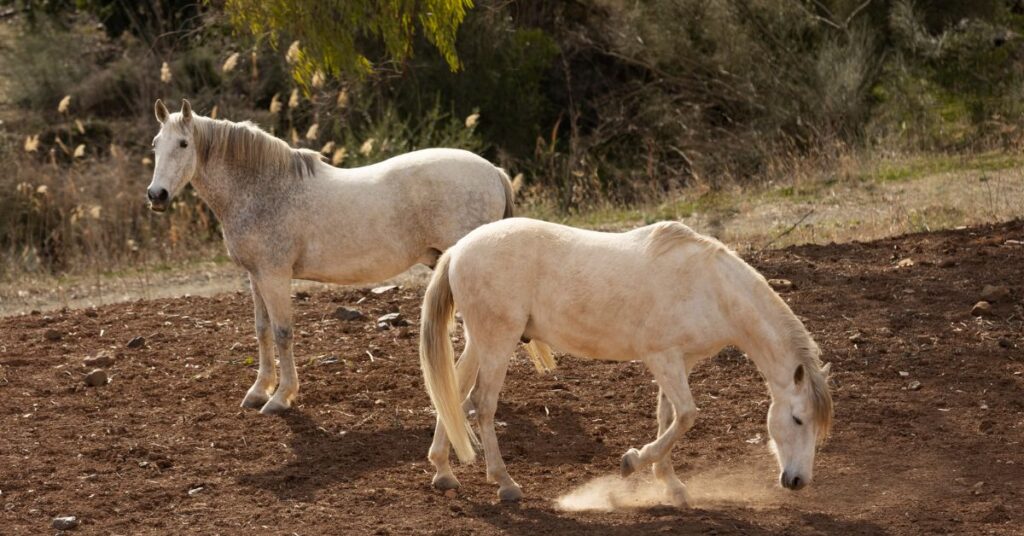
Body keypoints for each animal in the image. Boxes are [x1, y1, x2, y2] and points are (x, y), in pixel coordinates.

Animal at [147, 99, 514, 415]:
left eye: (183, 144)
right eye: (155, 144)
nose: (156, 195)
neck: (262, 188)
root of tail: (494, 172)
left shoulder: (275, 276)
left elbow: (283, 332)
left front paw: (281, 397)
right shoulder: (255, 276)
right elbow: (262, 330)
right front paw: (259, 390)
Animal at [419, 217, 833, 505]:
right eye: (798, 419)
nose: (798, 481)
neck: (712, 288)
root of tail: (457, 250)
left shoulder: (680, 362)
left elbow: (668, 418)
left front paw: (671, 485)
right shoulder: (662, 358)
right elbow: (687, 416)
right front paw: (633, 462)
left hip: (481, 342)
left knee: (453, 395)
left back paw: (443, 472)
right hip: (497, 342)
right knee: (482, 404)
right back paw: (505, 483)